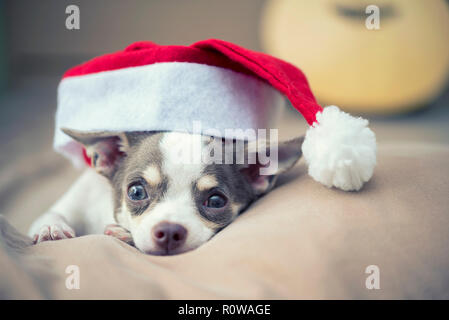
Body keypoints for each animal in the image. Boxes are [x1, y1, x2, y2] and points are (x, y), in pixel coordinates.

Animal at [27, 130, 300, 255]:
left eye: (215, 201)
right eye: (137, 192)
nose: (169, 231)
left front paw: (124, 235)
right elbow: (52, 215)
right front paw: (51, 228)